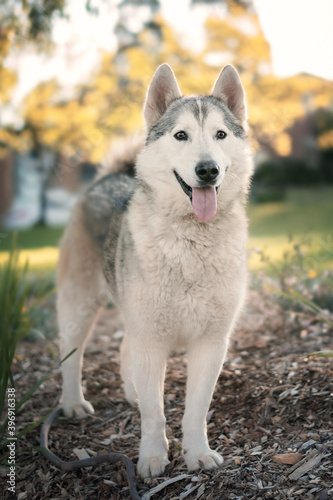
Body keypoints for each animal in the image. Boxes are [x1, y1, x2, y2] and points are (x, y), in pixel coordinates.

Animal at [58, 64, 253, 478]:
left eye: (220, 134)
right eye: (181, 135)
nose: (208, 170)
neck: (191, 244)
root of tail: (109, 177)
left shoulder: (210, 344)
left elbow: (195, 411)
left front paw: (197, 454)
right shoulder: (151, 339)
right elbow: (154, 414)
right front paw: (150, 457)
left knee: (122, 347)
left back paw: (131, 392)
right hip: (79, 305)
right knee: (71, 354)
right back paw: (73, 403)